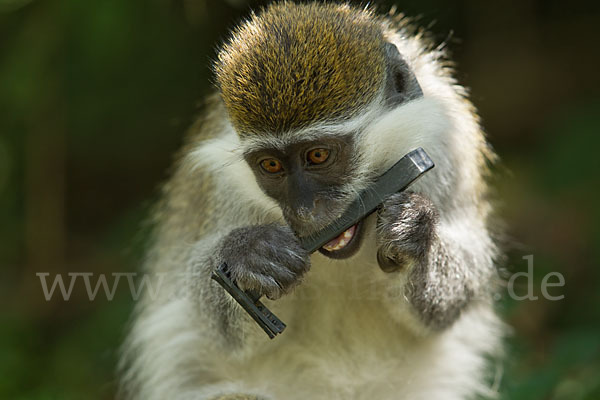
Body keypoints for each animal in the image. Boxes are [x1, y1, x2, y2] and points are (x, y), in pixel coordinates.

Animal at [119, 3, 504, 400]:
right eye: (271, 165)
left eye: (318, 155)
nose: (304, 211)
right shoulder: (224, 187)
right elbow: (212, 319)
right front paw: (247, 253)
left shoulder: (447, 146)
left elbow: (456, 293)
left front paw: (416, 232)